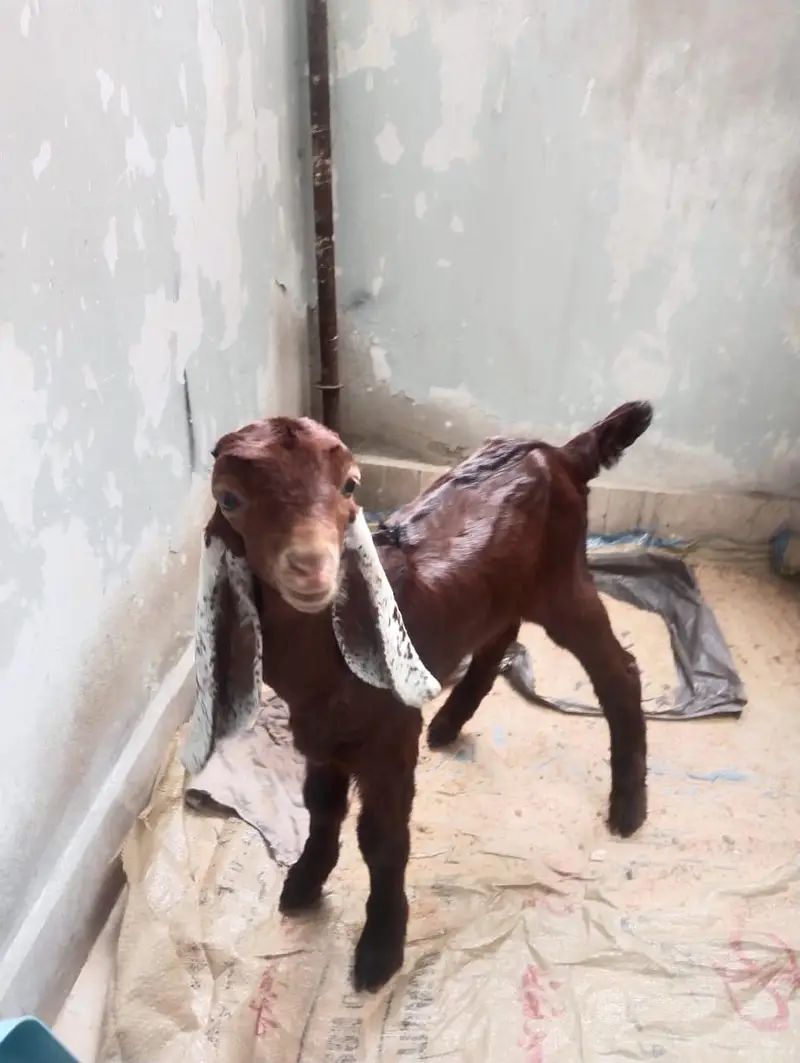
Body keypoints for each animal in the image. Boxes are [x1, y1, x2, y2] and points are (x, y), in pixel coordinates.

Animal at [182, 401, 653, 993]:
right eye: (229, 498)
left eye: (350, 484)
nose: (312, 564)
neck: (322, 663)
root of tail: (562, 452)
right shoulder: (320, 737)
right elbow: (322, 809)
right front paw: (304, 884)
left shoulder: (390, 734)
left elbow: (381, 838)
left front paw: (380, 950)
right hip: (508, 590)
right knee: (500, 636)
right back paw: (449, 723)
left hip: (563, 581)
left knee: (619, 670)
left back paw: (629, 807)